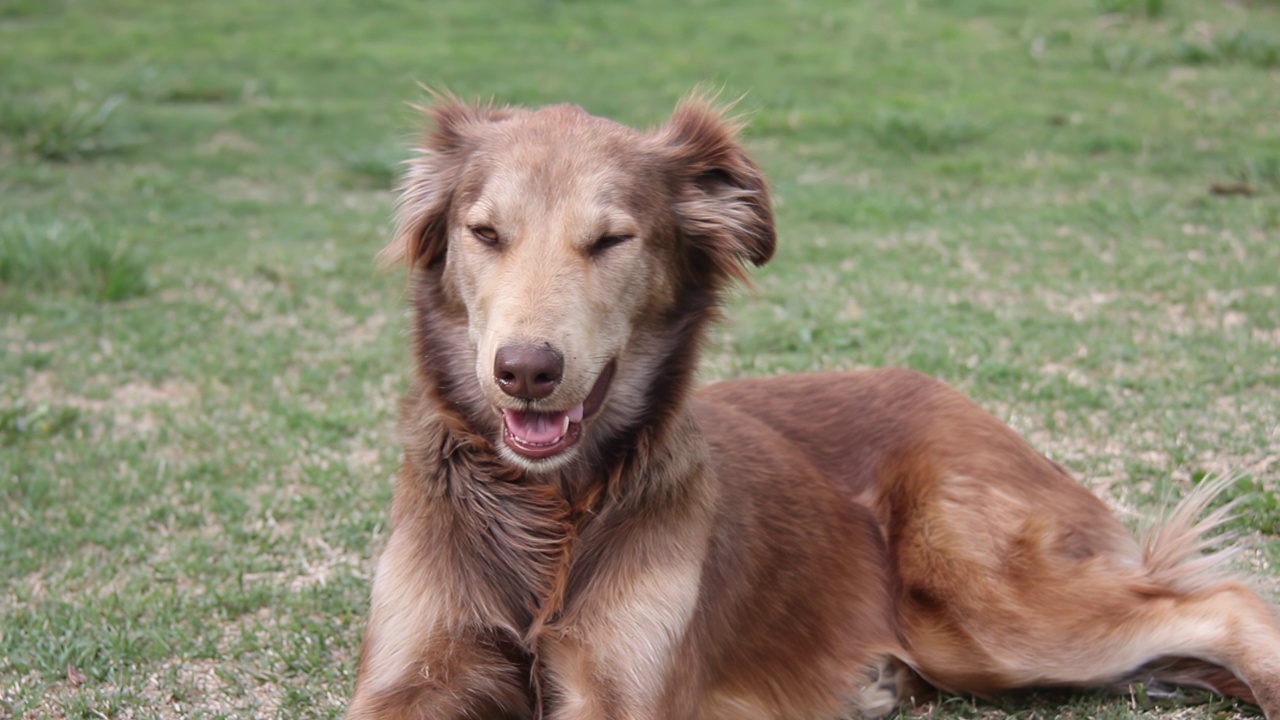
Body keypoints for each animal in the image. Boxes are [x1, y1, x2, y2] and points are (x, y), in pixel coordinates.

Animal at [348, 95, 1280, 717]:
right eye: (485, 233)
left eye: (611, 240)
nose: (526, 371)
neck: (549, 511)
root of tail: (963, 404)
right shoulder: (414, 673)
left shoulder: (623, 688)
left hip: (984, 609)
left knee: (1223, 606)